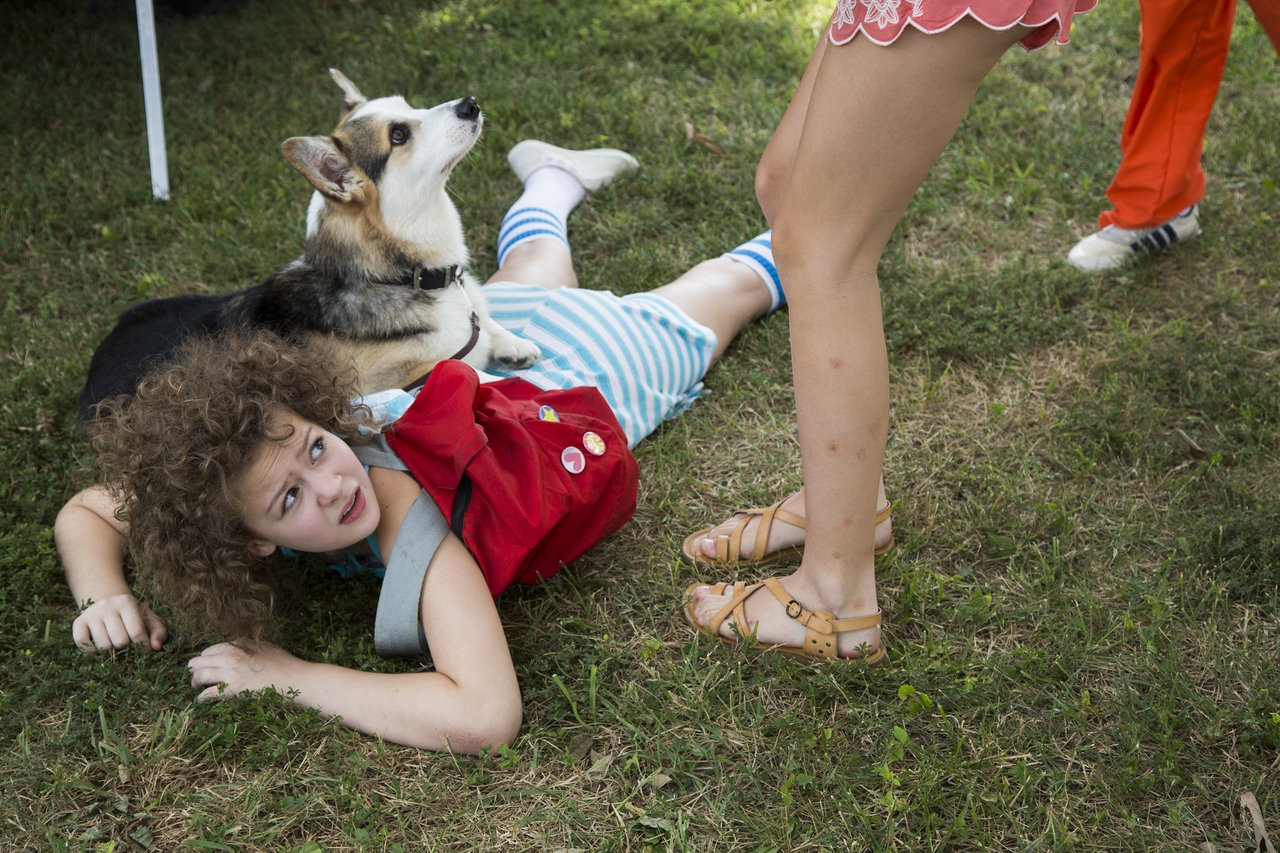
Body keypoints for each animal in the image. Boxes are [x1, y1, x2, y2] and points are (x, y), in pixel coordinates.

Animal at [78, 68, 540, 420]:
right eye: (398, 135)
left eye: (409, 105)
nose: (470, 102)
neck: (400, 277)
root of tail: (98, 359)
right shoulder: (382, 383)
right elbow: (467, 374)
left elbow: (487, 324)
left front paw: (512, 345)